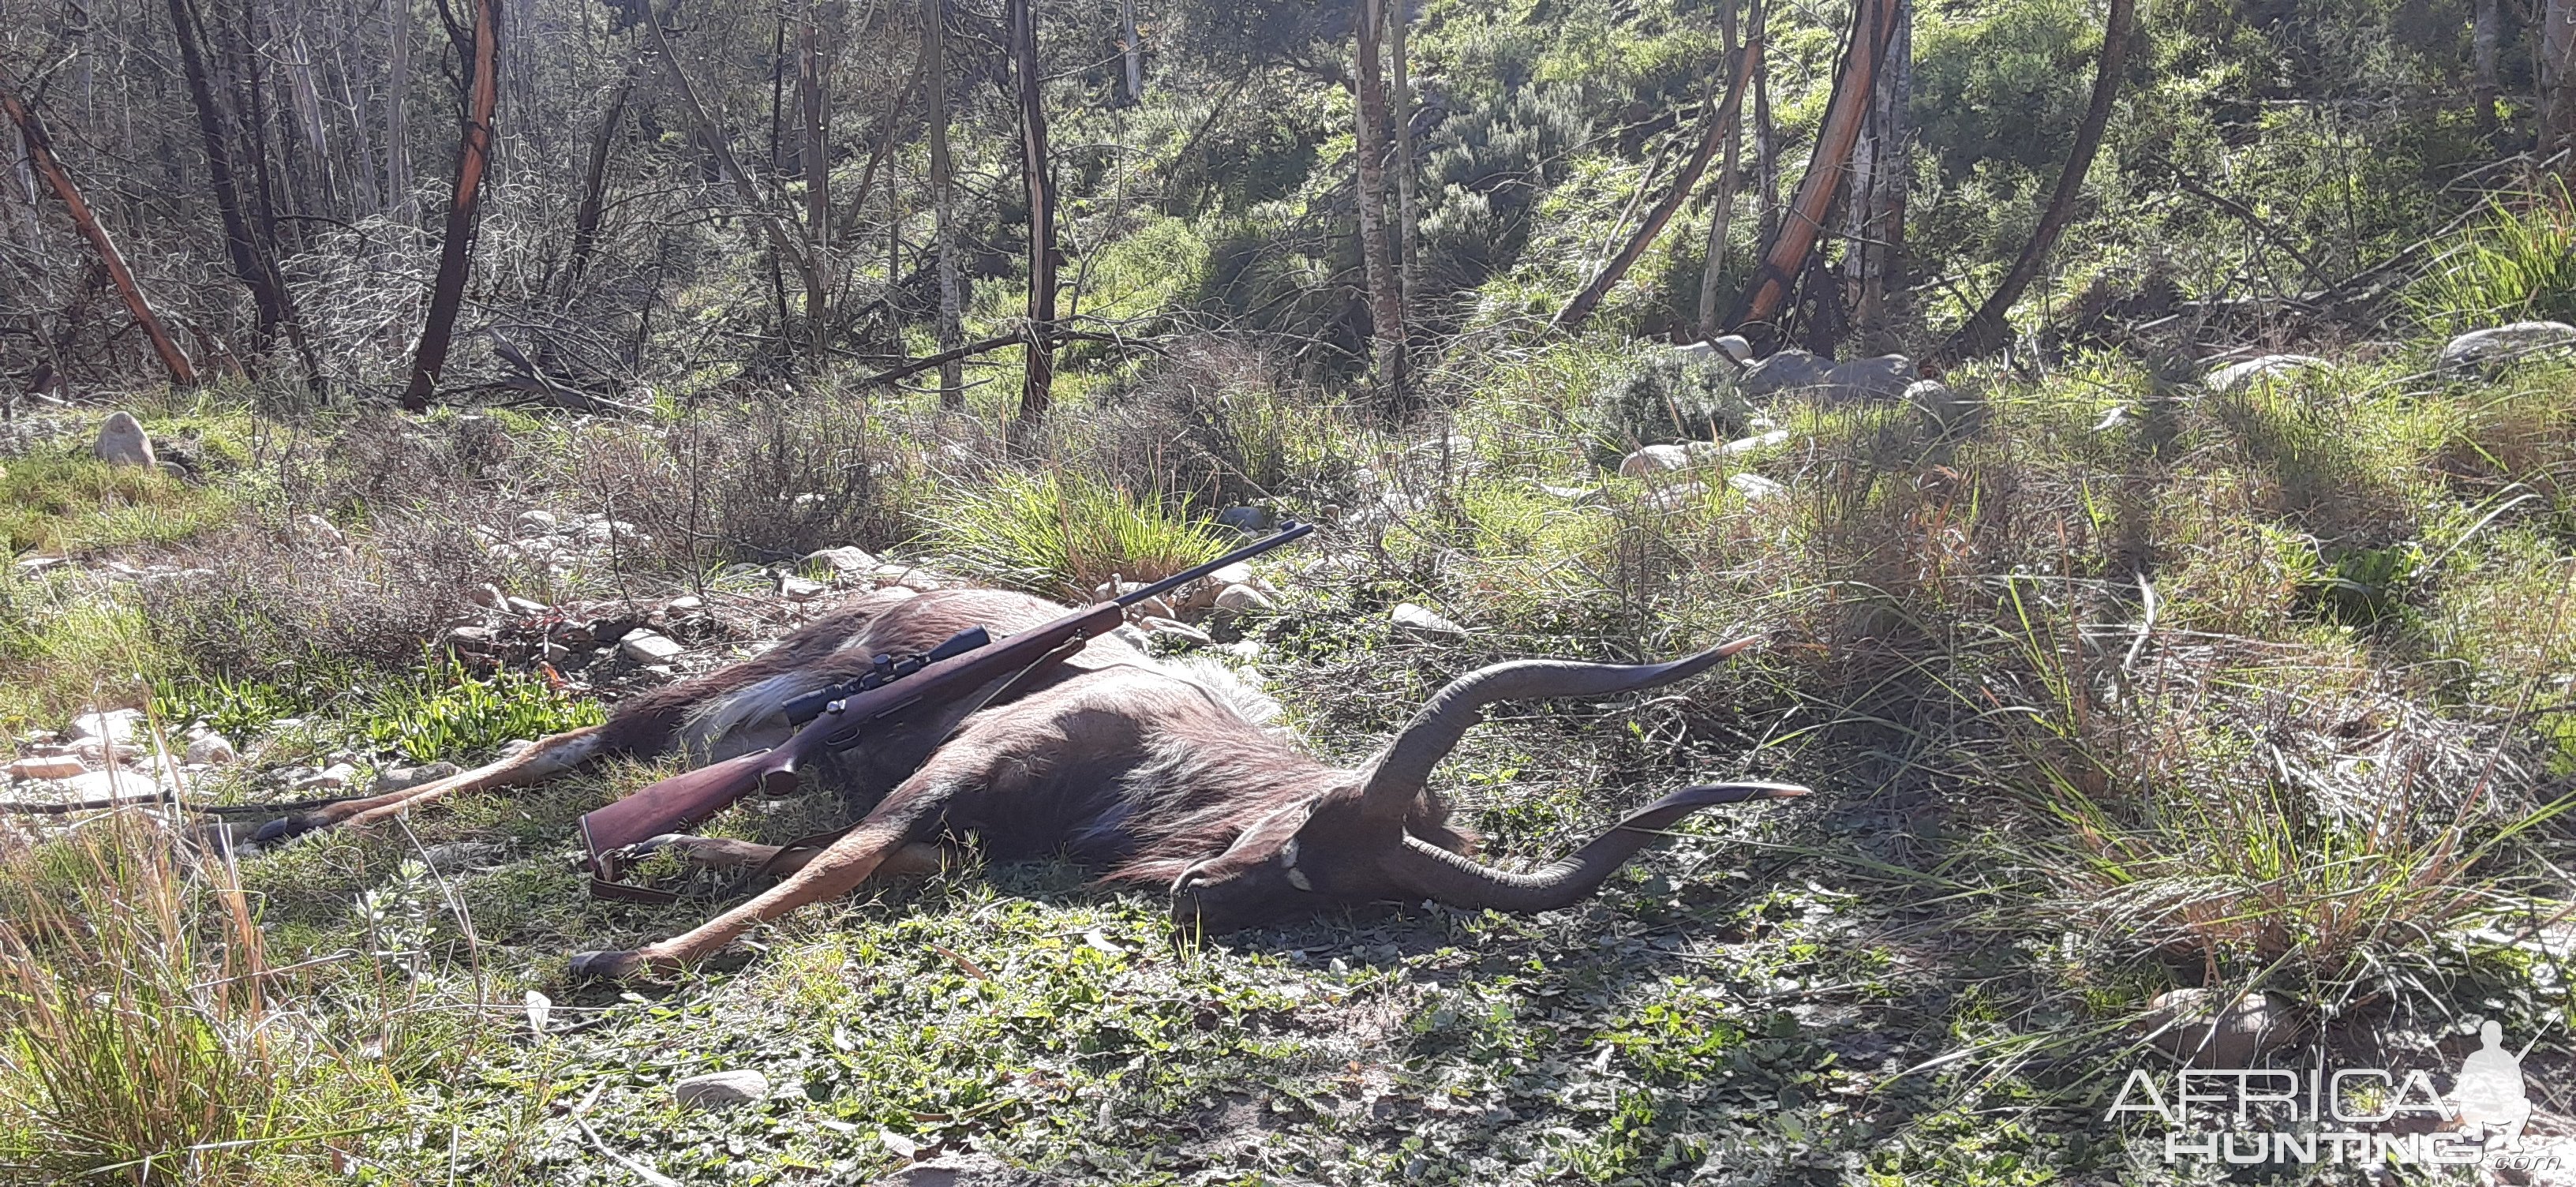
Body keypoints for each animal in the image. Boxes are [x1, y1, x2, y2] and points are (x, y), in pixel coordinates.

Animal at [251, 579, 1803, 978]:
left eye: (1362, 900)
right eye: (1311, 829)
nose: (1199, 899)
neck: (1160, 729)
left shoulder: (954, 821)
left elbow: (862, 861)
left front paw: (663, 877)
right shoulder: (967, 756)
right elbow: (839, 858)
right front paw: (619, 958)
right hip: (709, 697)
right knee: (568, 745)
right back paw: (280, 821)